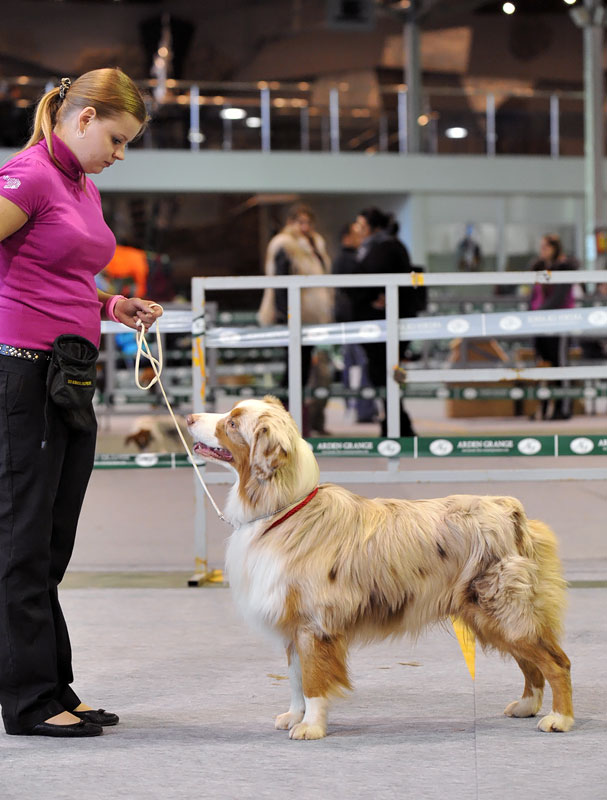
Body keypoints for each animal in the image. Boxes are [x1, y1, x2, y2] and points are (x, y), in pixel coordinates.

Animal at [186, 396, 576, 740]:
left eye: (232, 423)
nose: (188, 417)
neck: (285, 510)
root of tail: (509, 509)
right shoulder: (292, 625)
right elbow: (296, 679)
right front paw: (294, 716)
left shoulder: (314, 624)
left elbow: (312, 681)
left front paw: (311, 727)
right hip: (491, 615)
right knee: (531, 664)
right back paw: (527, 706)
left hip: (503, 610)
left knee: (556, 662)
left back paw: (559, 719)